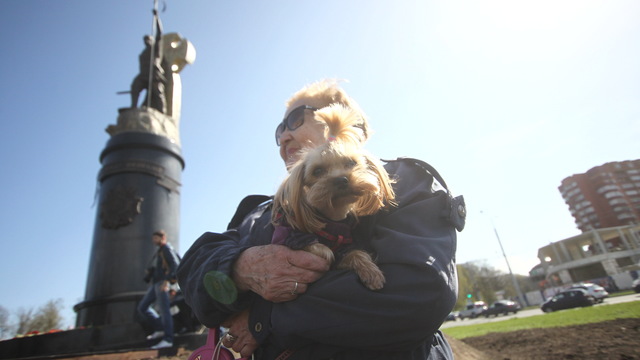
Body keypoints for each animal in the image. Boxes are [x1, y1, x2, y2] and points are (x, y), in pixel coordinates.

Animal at [272, 104, 396, 290]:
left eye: (352, 163)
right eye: (317, 171)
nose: (341, 179)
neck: (333, 218)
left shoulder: (346, 246)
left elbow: (355, 254)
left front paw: (372, 274)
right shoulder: (291, 236)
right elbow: (323, 250)